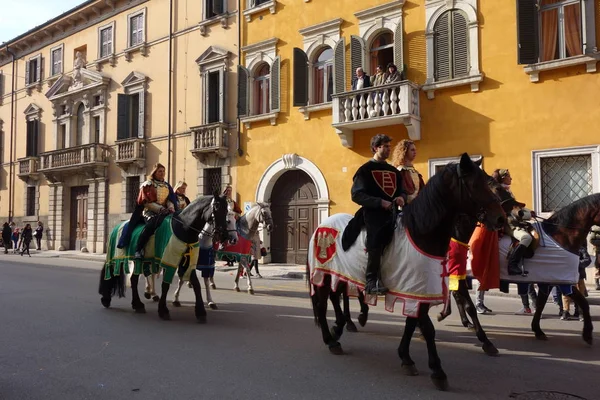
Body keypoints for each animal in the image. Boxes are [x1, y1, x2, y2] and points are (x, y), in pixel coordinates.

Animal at [98, 194, 232, 322]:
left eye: (226, 210)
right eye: (216, 207)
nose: (223, 236)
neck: (183, 228)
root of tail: (119, 225)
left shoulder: (188, 262)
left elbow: (196, 284)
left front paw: (200, 312)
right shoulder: (169, 259)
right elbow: (165, 285)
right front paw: (163, 310)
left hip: (138, 261)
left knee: (133, 280)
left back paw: (138, 305)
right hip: (119, 256)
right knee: (113, 274)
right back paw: (107, 299)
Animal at [310, 154, 506, 390]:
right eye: (476, 185)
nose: (501, 219)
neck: (422, 233)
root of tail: (322, 224)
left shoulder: (420, 287)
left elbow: (413, 323)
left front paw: (405, 357)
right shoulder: (418, 285)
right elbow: (428, 326)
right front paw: (438, 371)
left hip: (339, 274)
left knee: (334, 297)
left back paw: (340, 327)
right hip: (324, 272)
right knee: (323, 304)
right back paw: (332, 339)